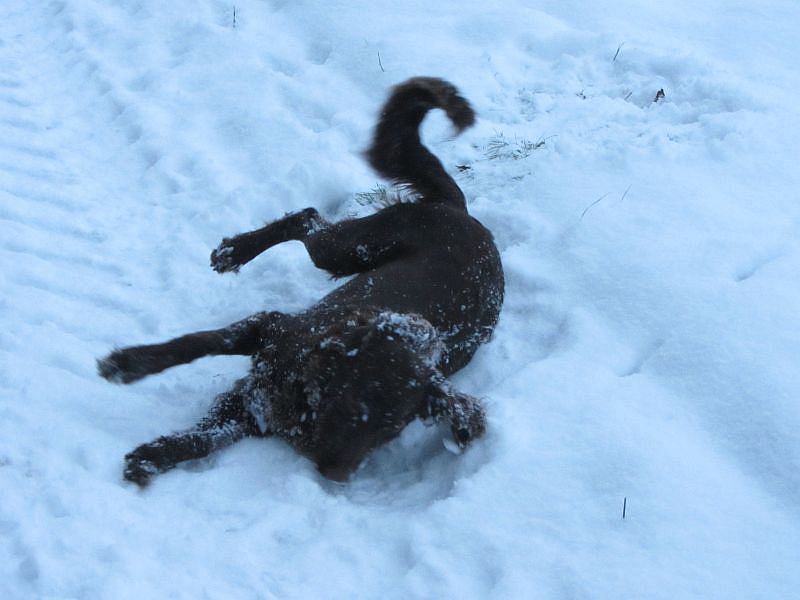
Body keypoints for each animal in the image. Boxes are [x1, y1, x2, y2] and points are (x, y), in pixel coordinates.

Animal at [98, 77, 504, 485]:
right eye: (354, 404)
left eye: (395, 427)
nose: (335, 475)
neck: (304, 396)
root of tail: (459, 210)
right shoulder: (265, 329)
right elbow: (194, 344)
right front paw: (127, 365)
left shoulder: (253, 408)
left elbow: (205, 437)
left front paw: (151, 457)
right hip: (343, 249)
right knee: (307, 219)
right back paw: (233, 252)